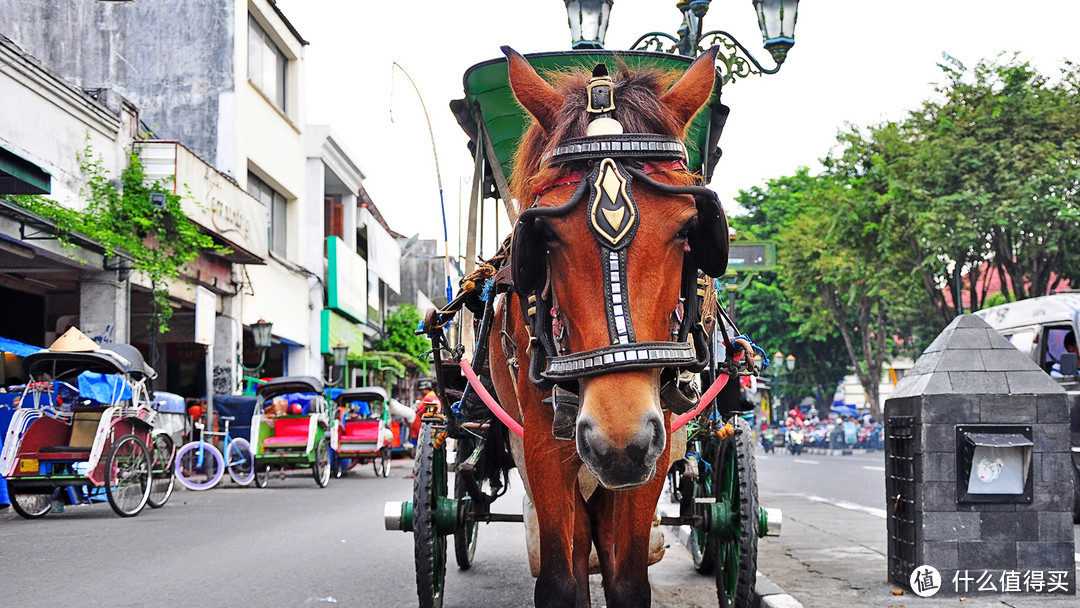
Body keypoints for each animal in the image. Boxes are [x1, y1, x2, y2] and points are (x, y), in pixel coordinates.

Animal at [492, 47, 730, 608]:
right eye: (544, 235)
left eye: (689, 228)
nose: (618, 441)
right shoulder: (543, 445)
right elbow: (562, 578)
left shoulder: (654, 446)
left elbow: (627, 578)